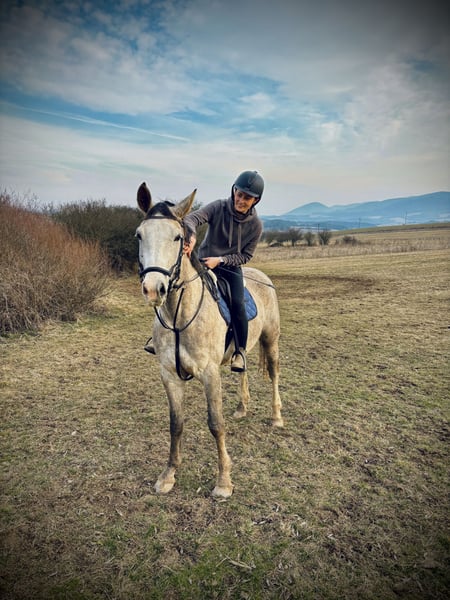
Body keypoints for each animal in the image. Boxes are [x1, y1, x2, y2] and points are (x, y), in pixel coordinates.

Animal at [136, 182, 283, 498]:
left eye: (178, 237)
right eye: (139, 235)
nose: (154, 289)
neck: (180, 317)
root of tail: (260, 275)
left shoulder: (209, 373)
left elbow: (216, 424)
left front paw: (224, 481)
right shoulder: (169, 374)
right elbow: (176, 424)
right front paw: (168, 475)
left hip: (271, 340)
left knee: (275, 373)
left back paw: (277, 417)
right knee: (243, 367)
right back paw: (242, 408)